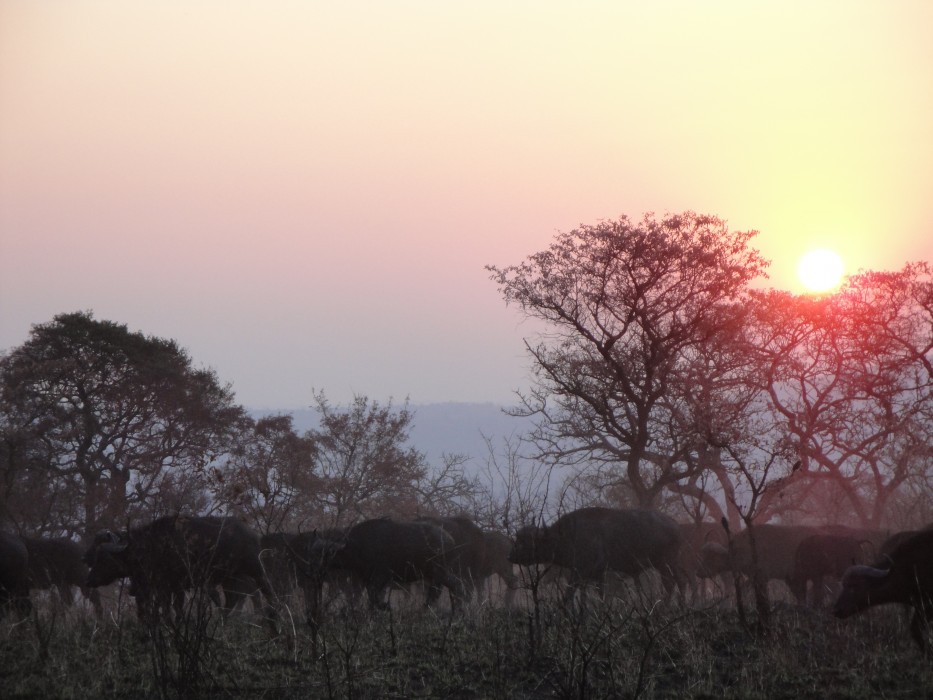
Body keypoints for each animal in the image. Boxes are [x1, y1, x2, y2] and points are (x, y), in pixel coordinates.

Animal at [84, 516, 276, 624]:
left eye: (104, 559)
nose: (89, 579)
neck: (153, 546)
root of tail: (251, 534)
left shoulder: (175, 584)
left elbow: (174, 606)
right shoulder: (166, 586)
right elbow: (169, 607)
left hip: (255, 569)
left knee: (266, 589)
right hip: (229, 577)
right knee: (232, 598)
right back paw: (223, 618)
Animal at [510, 506, 684, 604]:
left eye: (526, 541)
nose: (511, 556)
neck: (568, 535)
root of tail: (674, 524)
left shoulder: (579, 572)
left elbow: (568, 596)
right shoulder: (597, 575)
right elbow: (599, 596)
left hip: (665, 564)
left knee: (672, 585)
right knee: (677, 585)